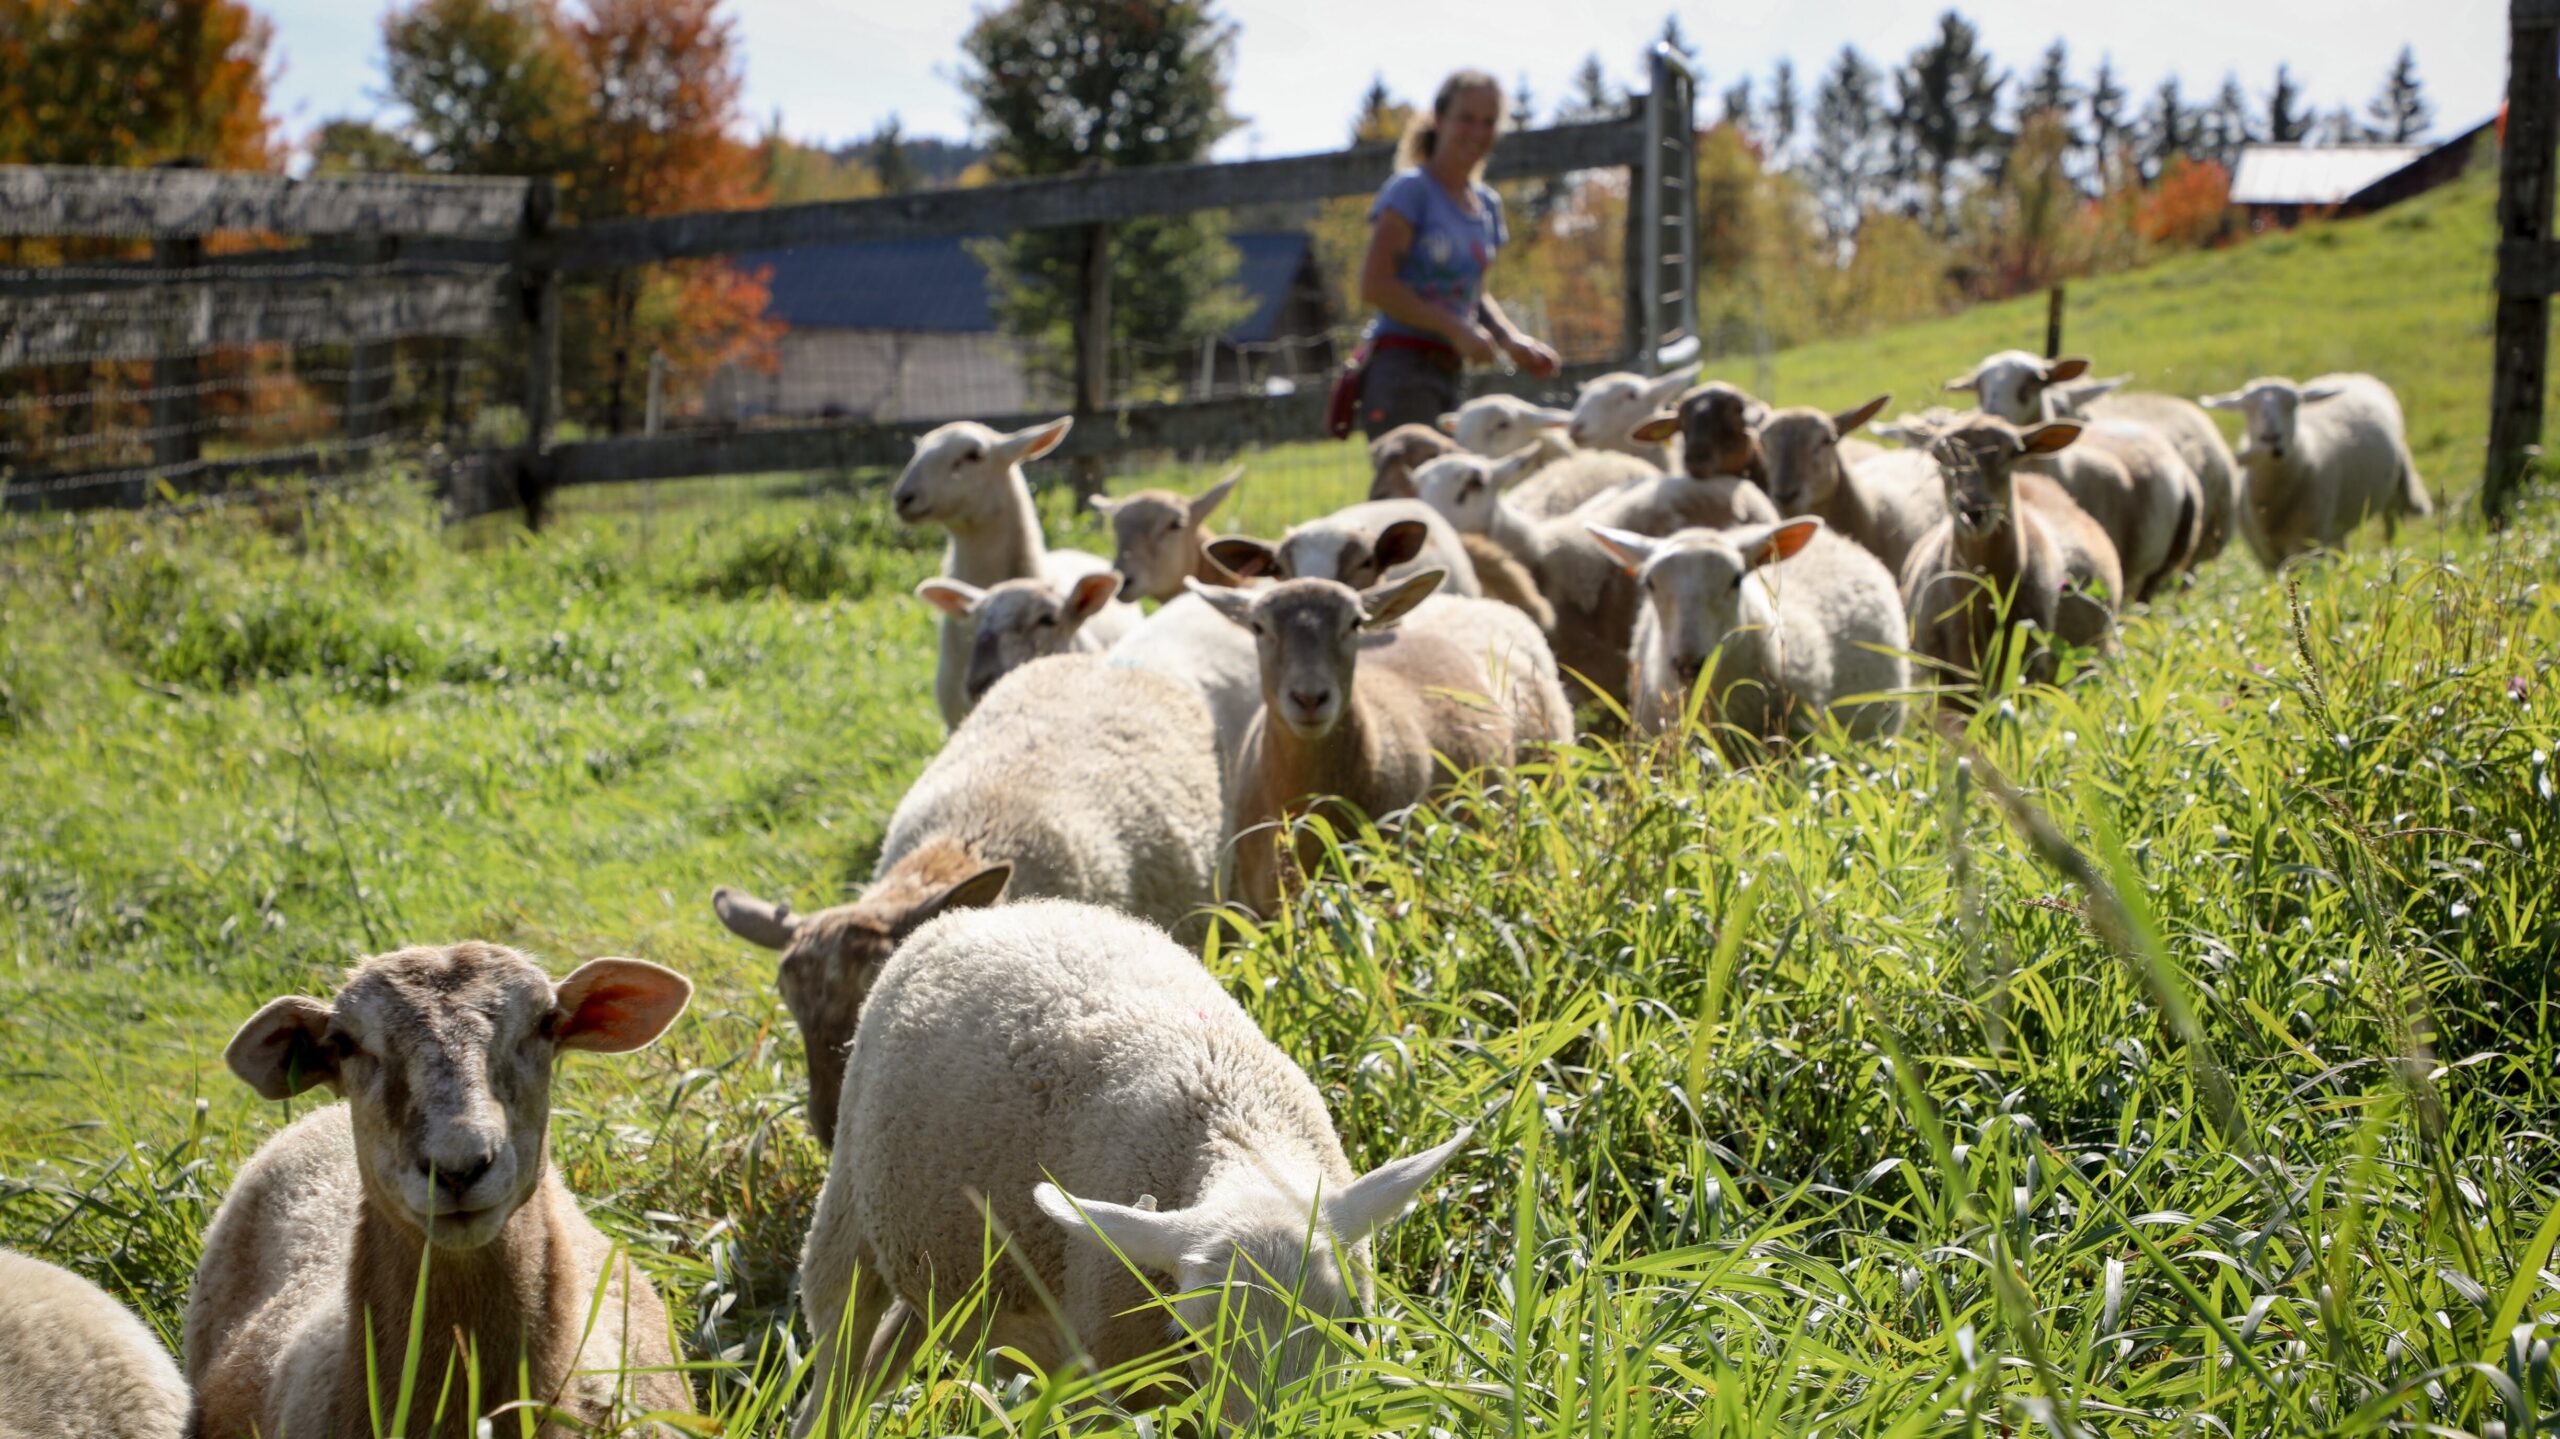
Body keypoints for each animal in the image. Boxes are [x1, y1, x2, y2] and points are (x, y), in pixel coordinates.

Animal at [792, 899, 1470, 1434]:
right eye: (1193, 1338)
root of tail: (987, 911)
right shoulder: (1103, 1378)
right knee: (833, 1362)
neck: (1237, 1128)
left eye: (1352, 1324)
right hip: (844, 1211)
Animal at [2200, 373, 2431, 567]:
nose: (2271, 438)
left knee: (2392, 535)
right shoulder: (2264, 552)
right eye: (2247, 407)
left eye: (2293, 404)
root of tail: (2351, 374)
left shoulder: (2307, 545)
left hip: (2392, 499)